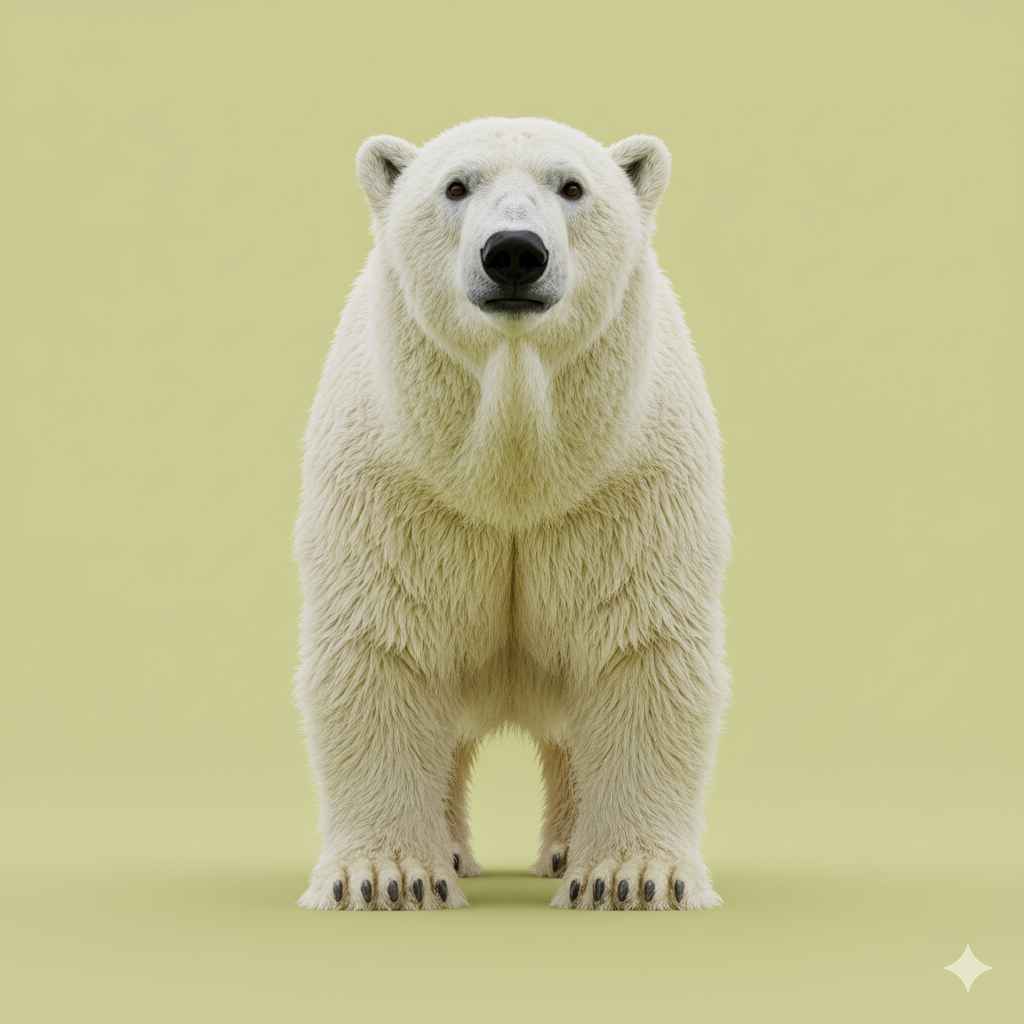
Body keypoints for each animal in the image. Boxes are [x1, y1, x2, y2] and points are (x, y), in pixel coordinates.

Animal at [295, 117, 730, 912]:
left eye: (573, 186)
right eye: (455, 185)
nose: (515, 253)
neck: (514, 467)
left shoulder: (626, 484)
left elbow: (637, 648)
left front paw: (629, 878)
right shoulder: (398, 485)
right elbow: (384, 647)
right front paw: (387, 878)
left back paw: (562, 850)